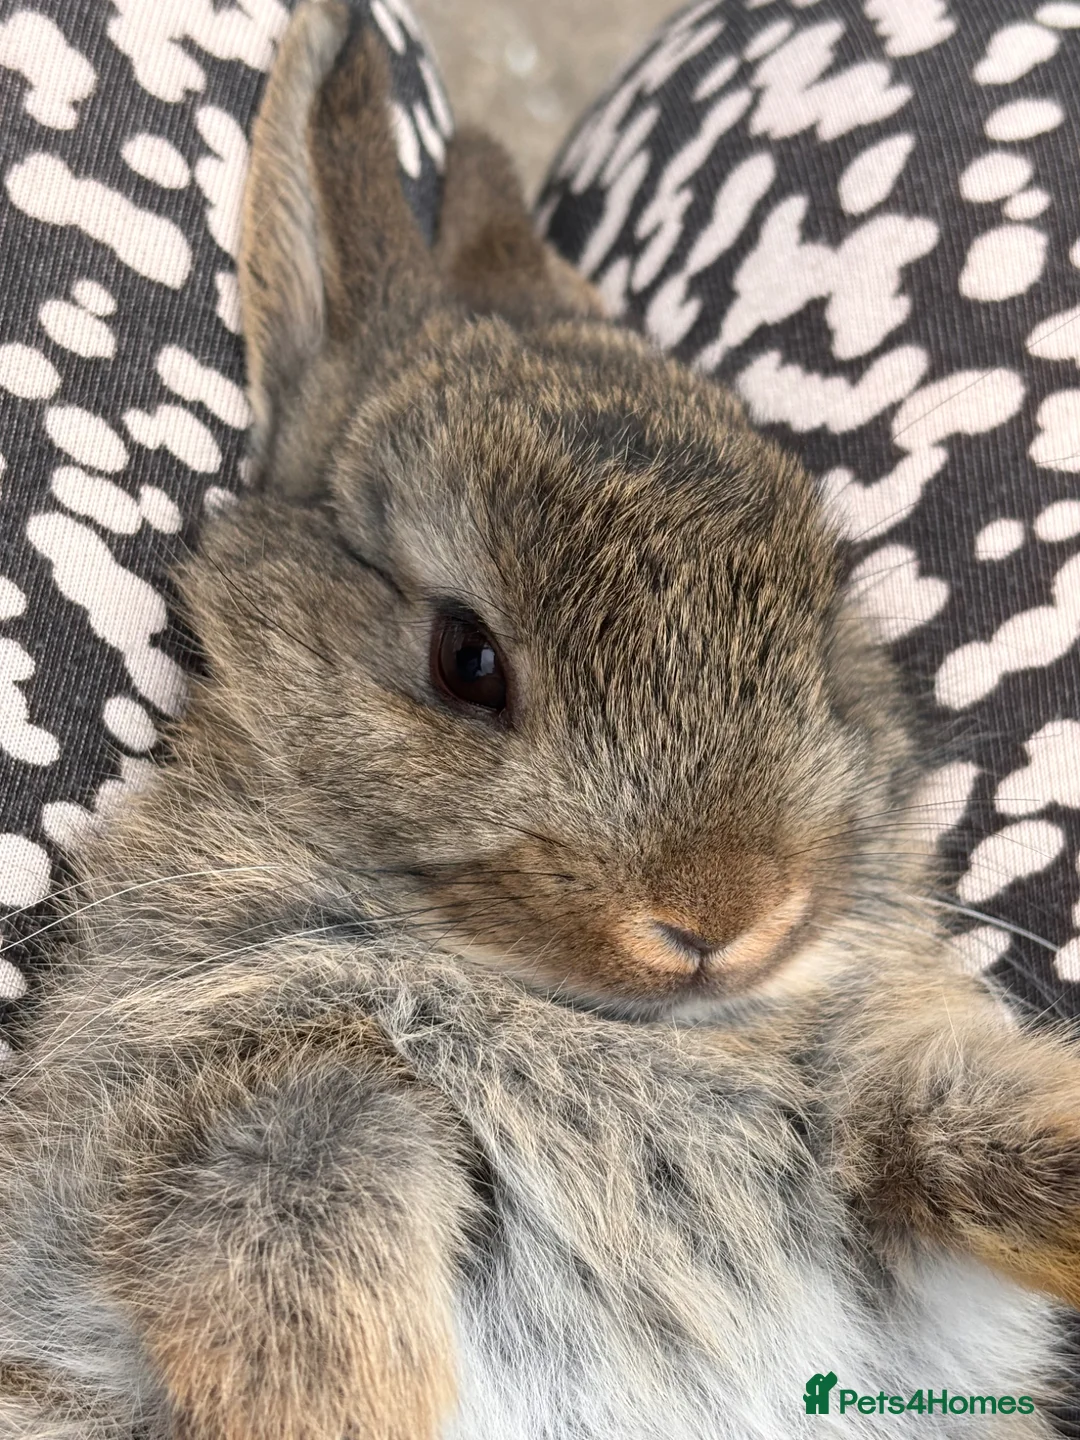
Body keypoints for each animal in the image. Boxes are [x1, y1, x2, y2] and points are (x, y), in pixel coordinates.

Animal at [0, 1, 1079, 1436]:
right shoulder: (240, 1118)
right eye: (467, 660)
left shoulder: (887, 1111)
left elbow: (977, 1129)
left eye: (819, 613)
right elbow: (312, 1210)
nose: (727, 913)